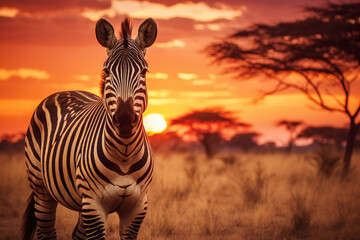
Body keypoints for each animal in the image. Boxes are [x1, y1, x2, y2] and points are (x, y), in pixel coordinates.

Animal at [22, 17, 158, 240]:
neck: (125, 154)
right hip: (41, 190)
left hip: (79, 201)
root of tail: (67, 91)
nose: (125, 119)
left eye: (144, 72)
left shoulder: (137, 206)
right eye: (107, 71)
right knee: (46, 232)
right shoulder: (94, 204)